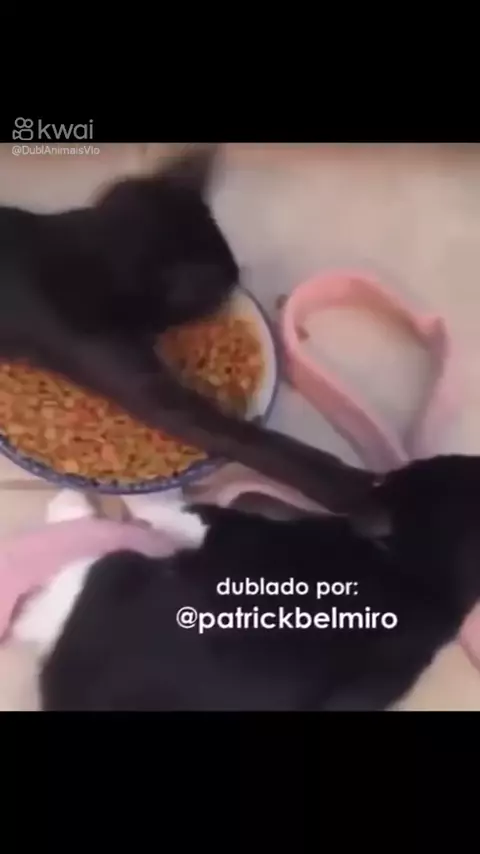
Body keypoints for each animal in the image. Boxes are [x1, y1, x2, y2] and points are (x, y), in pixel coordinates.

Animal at [0, 147, 374, 513]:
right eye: (222, 289)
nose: (236, 287)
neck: (91, 255)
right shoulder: (143, 386)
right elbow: (243, 437)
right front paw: (347, 486)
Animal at [11, 454, 480, 711]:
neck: (426, 575)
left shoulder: (232, 531)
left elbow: (176, 511)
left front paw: (150, 488)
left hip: (114, 574)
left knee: (57, 593)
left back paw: (71, 504)